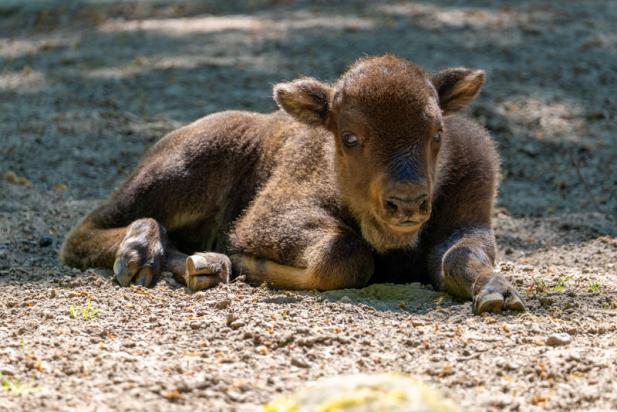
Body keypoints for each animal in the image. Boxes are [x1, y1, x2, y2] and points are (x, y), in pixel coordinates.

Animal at [60, 54, 524, 312]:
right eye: (349, 137)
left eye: (437, 133)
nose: (407, 203)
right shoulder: (270, 215)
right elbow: (343, 256)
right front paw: (248, 264)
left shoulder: (470, 217)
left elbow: (460, 257)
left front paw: (499, 293)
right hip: (183, 169)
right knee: (86, 230)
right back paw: (145, 256)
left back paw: (204, 265)